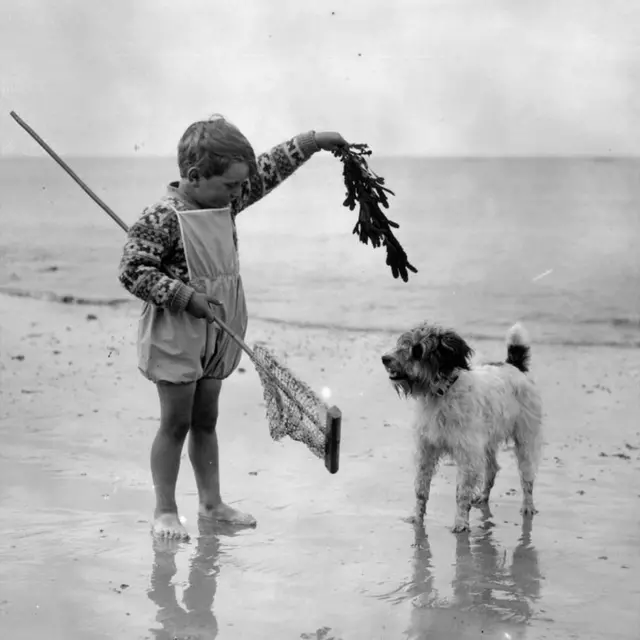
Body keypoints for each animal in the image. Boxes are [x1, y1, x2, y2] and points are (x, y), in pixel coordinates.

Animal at [382, 322, 544, 532]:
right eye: (401, 344)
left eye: (417, 350)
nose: (385, 359)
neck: (441, 393)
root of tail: (513, 365)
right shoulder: (426, 451)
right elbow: (421, 490)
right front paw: (417, 518)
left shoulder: (467, 455)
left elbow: (461, 493)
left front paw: (460, 522)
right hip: (486, 443)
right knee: (492, 469)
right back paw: (483, 497)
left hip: (525, 440)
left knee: (527, 477)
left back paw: (528, 506)